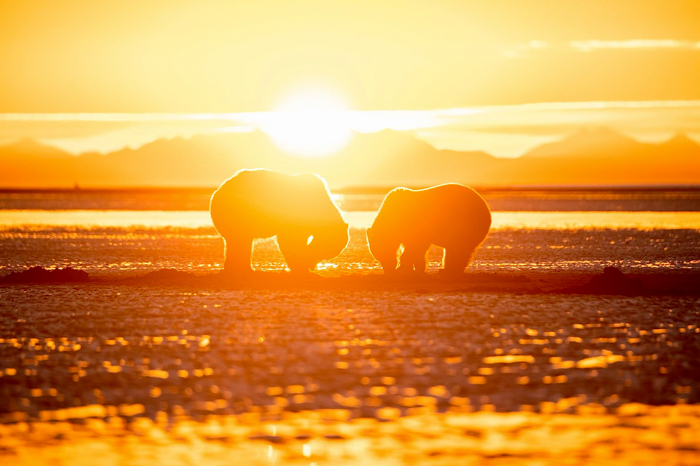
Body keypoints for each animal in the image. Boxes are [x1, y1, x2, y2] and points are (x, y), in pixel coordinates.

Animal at [208, 169, 350, 274]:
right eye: (325, 250)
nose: (312, 266)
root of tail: (217, 191)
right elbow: (290, 240)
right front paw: (300, 267)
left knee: (239, 242)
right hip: (237, 214)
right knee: (240, 241)